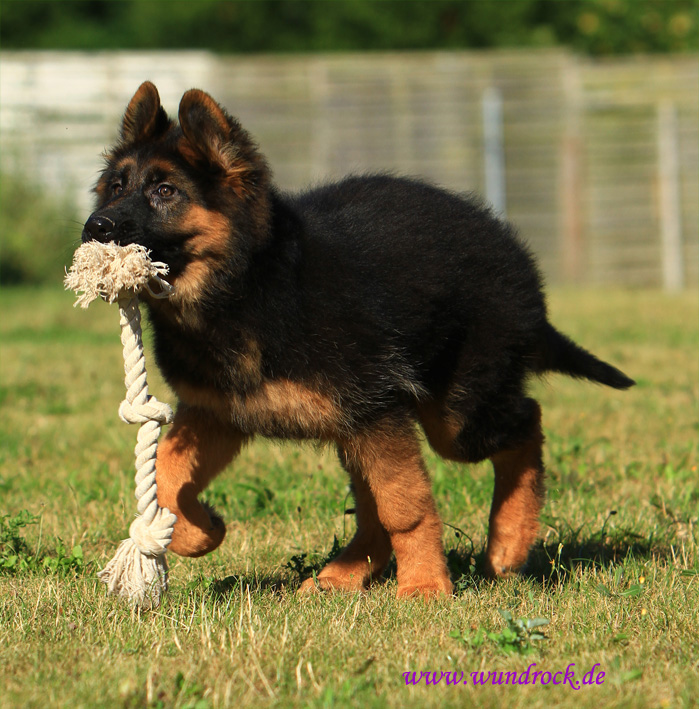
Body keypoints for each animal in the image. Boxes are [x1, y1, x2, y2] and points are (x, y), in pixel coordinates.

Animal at [82, 81, 634, 598]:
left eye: (165, 191)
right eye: (116, 186)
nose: (95, 226)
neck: (251, 284)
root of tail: (511, 251)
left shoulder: (375, 413)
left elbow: (405, 506)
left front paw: (425, 588)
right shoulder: (218, 413)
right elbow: (168, 472)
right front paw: (198, 533)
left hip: (454, 417)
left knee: (525, 423)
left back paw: (508, 544)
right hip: (357, 428)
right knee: (373, 506)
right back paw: (344, 575)